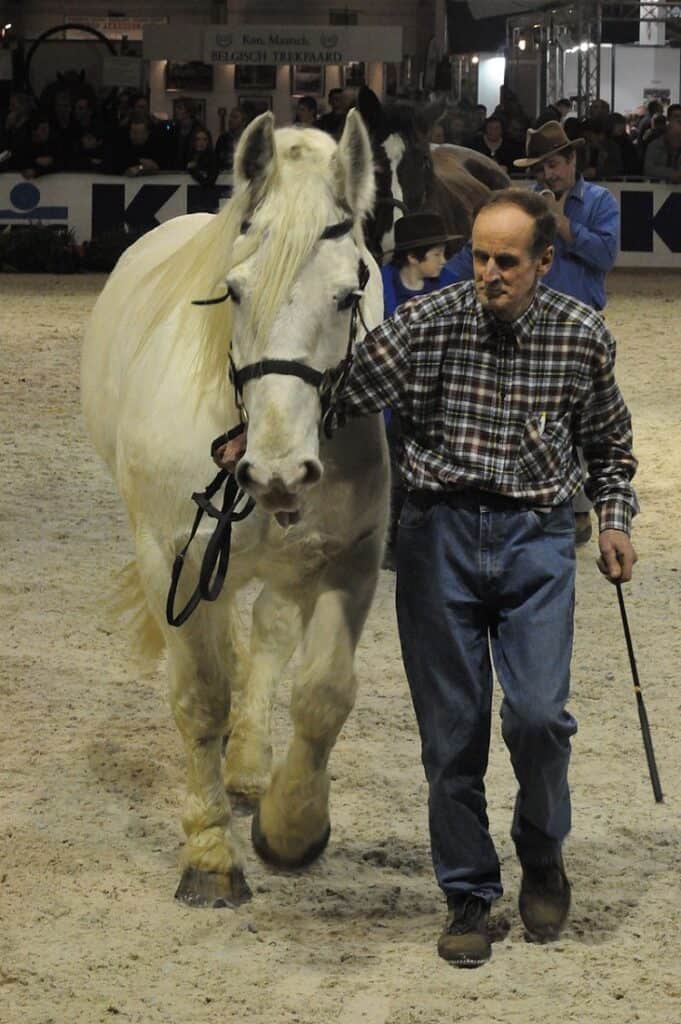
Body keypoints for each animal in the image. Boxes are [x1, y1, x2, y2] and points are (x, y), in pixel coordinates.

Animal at [80, 112, 387, 909]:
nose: (278, 472)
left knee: (271, 634)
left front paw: (292, 827)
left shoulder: (352, 557)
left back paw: (249, 767)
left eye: (349, 296)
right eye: (236, 292)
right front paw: (211, 855)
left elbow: (322, 693)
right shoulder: (174, 558)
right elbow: (199, 698)